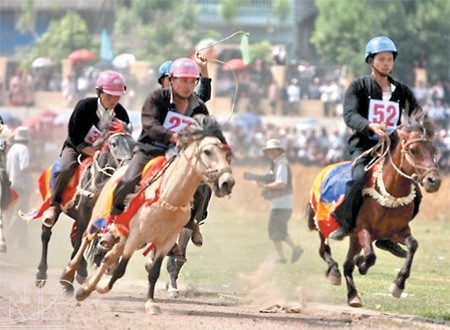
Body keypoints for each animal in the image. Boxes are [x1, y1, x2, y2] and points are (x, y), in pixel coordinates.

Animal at [21, 122, 134, 288]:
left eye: (134, 145)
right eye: (113, 144)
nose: (128, 165)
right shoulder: (84, 213)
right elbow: (80, 240)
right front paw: (68, 280)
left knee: (75, 237)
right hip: (55, 207)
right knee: (46, 234)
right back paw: (42, 274)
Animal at [62, 114, 236, 314]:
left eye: (226, 154)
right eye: (207, 151)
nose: (227, 182)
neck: (169, 197)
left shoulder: (168, 239)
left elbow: (156, 270)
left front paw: (152, 302)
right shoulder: (135, 236)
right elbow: (121, 268)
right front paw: (102, 286)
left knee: (108, 256)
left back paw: (86, 288)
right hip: (97, 218)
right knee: (86, 239)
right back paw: (70, 274)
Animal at [308, 112, 442, 308]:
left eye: (433, 151)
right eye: (413, 150)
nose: (434, 180)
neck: (390, 192)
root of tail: (325, 169)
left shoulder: (398, 231)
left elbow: (412, 245)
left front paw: (398, 284)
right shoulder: (363, 229)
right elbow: (370, 256)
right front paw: (362, 264)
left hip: (354, 238)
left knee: (347, 264)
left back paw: (353, 295)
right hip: (324, 226)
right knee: (324, 250)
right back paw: (334, 272)